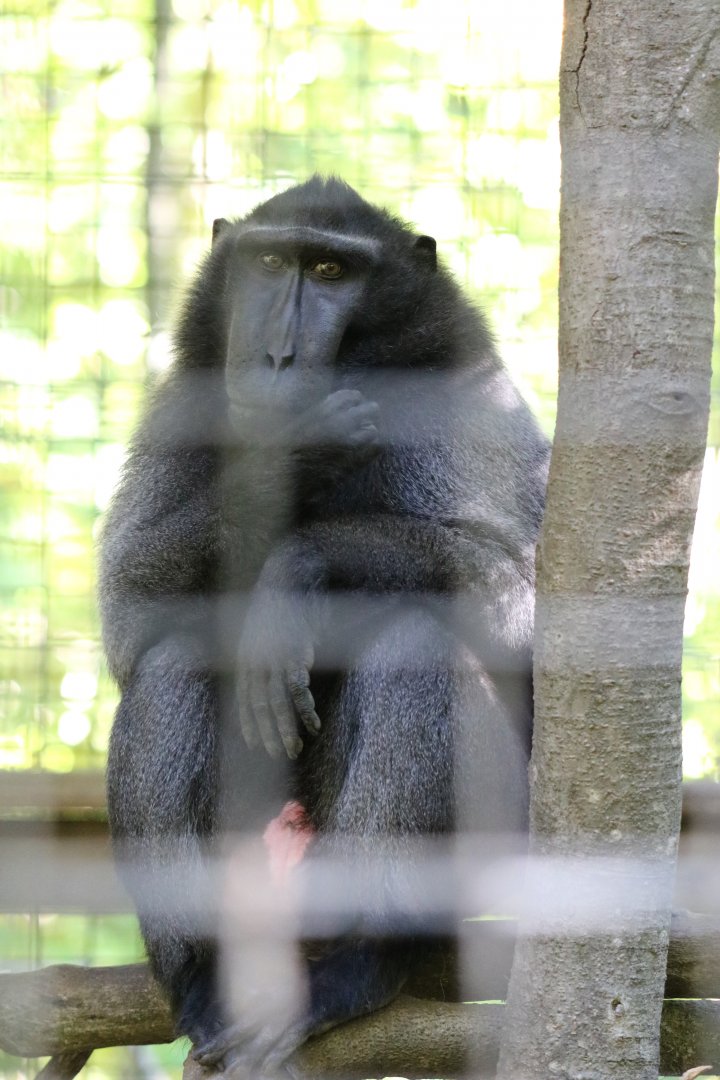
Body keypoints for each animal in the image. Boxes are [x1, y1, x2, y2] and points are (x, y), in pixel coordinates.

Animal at [100, 176, 549, 1076]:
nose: (276, 358)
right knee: (175, 660)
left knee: (417, 648)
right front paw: (289, 457)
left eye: (333, 270)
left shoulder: (469, 397)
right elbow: (129, 620)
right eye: (271, 263)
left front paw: (299, 565)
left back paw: (360, 962)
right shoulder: (182, 406)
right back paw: (205, 978)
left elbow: (538, 608)